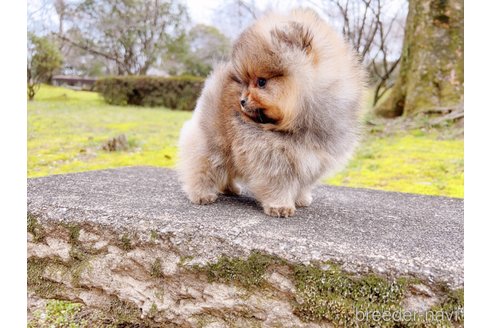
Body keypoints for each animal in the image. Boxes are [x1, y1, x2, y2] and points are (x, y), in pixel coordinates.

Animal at [177, 8, 366, 218]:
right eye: (246, 82)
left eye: (261, 82)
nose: (242, 100)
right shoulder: (272, 157)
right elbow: (278, 184)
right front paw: (280, 206)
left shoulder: (313, 159)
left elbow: (303, 184)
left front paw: (301, 199)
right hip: (212, 141)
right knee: (204, 165)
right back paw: (201, 194)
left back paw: (230, 188)